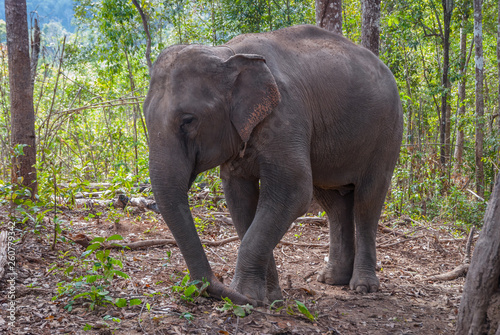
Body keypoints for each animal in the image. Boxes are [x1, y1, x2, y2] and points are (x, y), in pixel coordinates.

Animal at [144, 23, 402, 308]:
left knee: (368, 199)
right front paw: (269, 299)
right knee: (334, 203)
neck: (227, 53)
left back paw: (363, 287)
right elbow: (239, 199)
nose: (211, 288)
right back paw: (331, 280)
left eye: (188, 120)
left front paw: (246, 296)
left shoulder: (287, 116)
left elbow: (294, 190)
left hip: (387, 131)